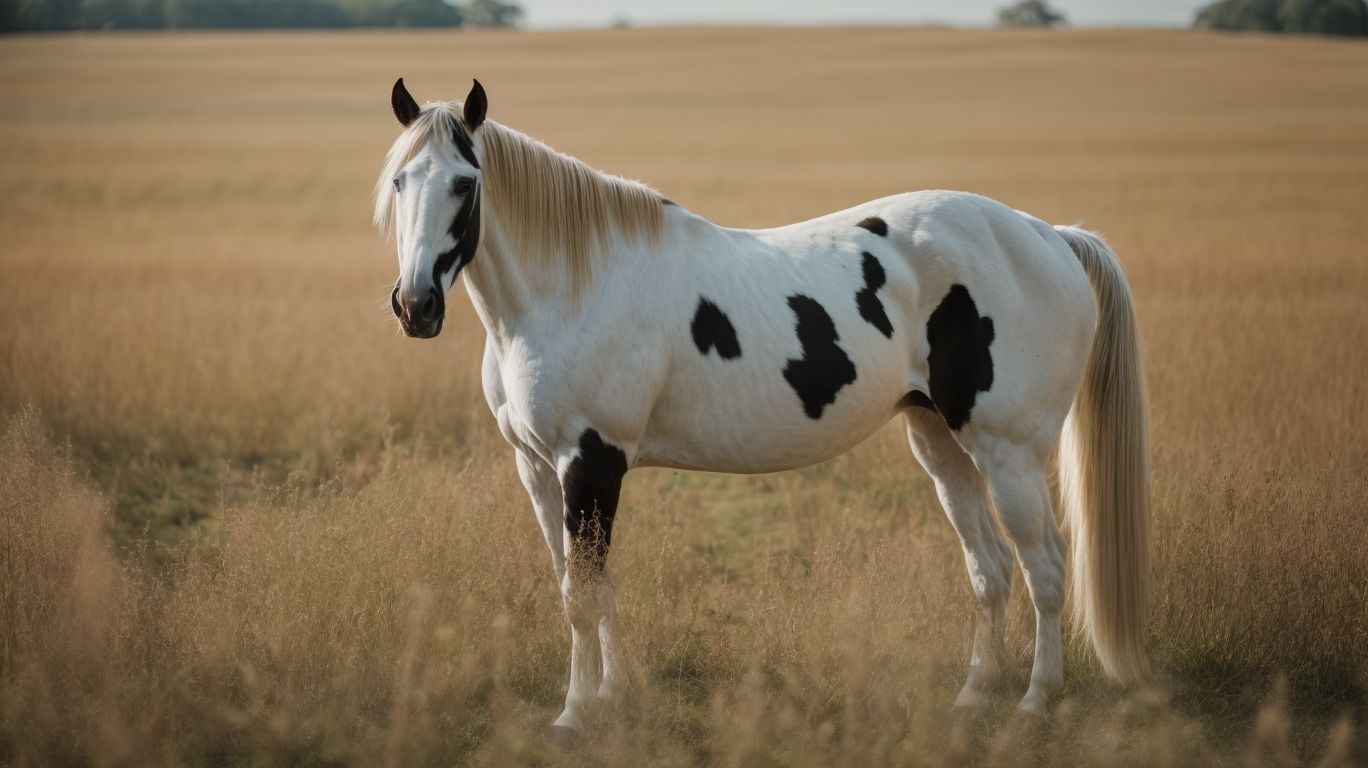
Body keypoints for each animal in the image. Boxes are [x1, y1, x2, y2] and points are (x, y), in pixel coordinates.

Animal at [373, 78, 1151, 736]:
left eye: (465, 183)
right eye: (400, 181)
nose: (416, 306)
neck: (570, 288)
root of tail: (1047, 235)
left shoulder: (590, 463)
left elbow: (582, 594)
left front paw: (575, 715)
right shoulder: (539, 470)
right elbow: (585, 584)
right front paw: (612, 695)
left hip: (1009, 452)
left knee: (1045, 565)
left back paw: (1035, 702)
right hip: (941, 442)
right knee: (989, 567)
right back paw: (973, 696)